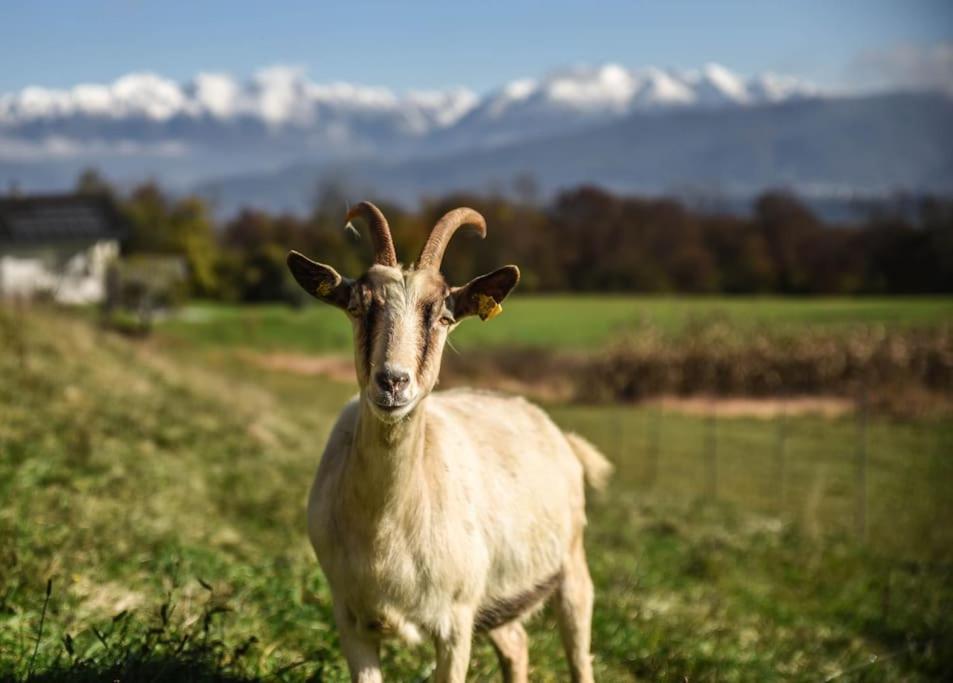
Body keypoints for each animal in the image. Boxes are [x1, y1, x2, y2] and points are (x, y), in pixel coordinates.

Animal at [286, 203, 608, 683]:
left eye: (442, 316)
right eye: (358, 307)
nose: (393, 382)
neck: (387, 530)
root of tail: (562, 438)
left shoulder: (455, 622)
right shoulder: (350, 618)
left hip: (570, 569)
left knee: (578, 652)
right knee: (517, 645)